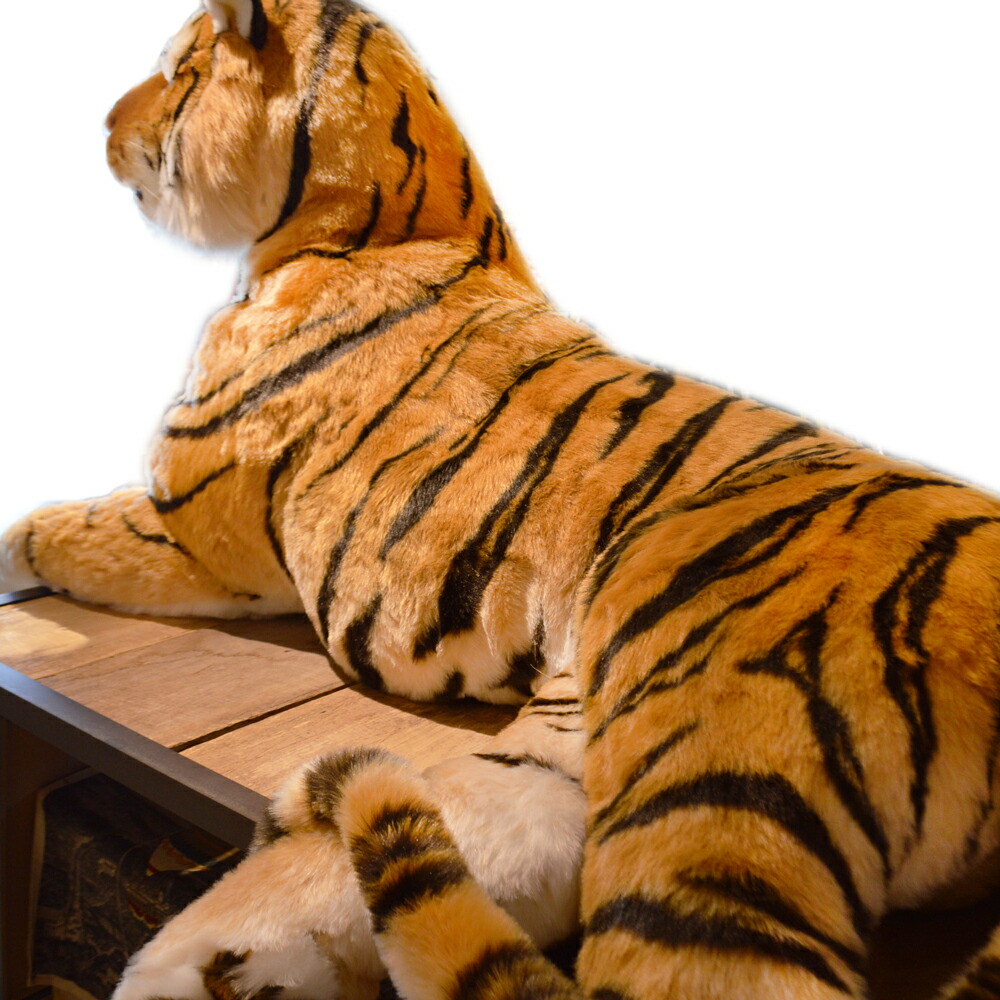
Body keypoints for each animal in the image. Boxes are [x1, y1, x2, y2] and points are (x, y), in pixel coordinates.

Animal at [2, 0, 1000, 997]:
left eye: (176, 71)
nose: (101, 126)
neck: (386, 215)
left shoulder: (194, 533)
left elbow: (53, 529)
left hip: (713, 764)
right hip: (574, 752)